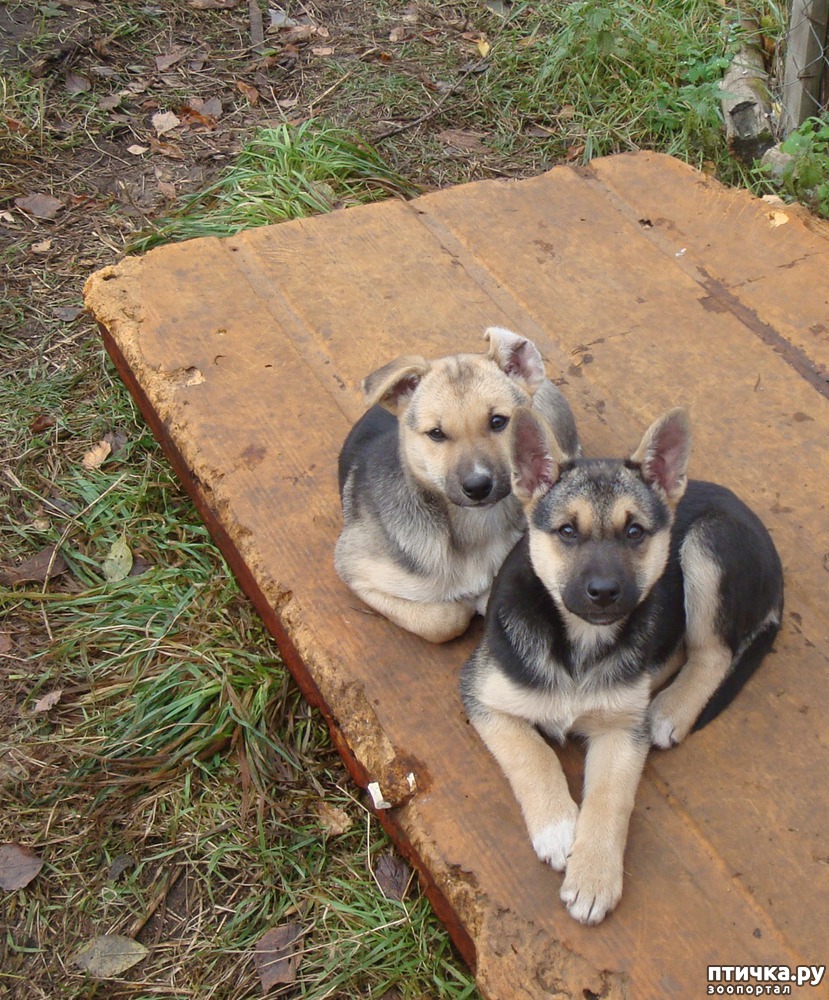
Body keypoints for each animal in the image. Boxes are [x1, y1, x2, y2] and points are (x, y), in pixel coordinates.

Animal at [334, 328, 580, 640]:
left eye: (498, 421)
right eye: (436, 433)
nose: (477, 487)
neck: (474, 526)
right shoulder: (354, 569)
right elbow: (446, 619)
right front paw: (465, 603)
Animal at [460, 406, 784, 920]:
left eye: (635, 533)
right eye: (567, 531)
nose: (604, 592)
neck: (580, 643)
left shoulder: (622, 732)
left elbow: (609, 799)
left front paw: (593, 875)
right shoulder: (482, 694)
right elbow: (530, 753)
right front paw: (558, 826)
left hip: (707, 544)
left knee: (714, 654)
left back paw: (670, 706)